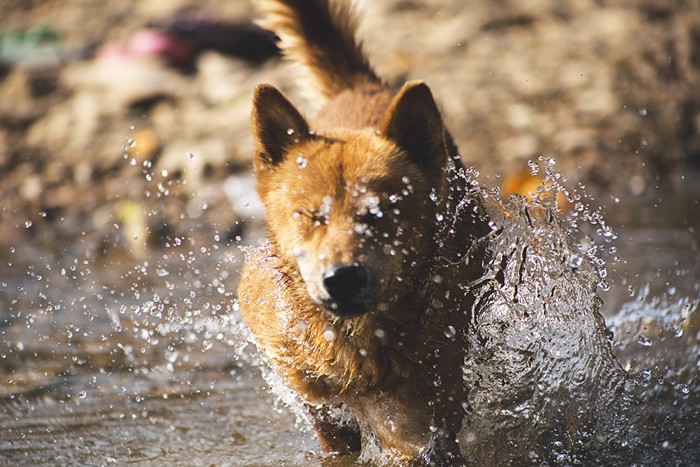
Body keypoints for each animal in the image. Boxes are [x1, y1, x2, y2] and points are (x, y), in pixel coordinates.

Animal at [241, 0, 492, 464]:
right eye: (311, 216)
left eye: (380, 213)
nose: (342, 278)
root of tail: (361, 88)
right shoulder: (313, 395)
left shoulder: (428, 406)